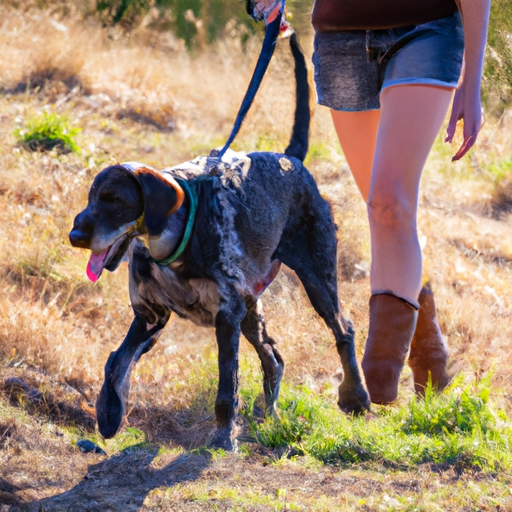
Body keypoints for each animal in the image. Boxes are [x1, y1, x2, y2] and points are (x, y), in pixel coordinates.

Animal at [70, 36, 370, 450]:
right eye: (91, 197)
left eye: (114, 199)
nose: (75, 236)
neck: (176, 241)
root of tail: (290, 159)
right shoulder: (151, 315)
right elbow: (117, 360)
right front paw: (109, 409)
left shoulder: (227, 315)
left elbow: (227, 387)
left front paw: (224, 437)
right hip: (252, 308)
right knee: (274, 356)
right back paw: (270, 413)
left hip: (316, 279)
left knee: (344, 329)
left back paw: (355, 396)